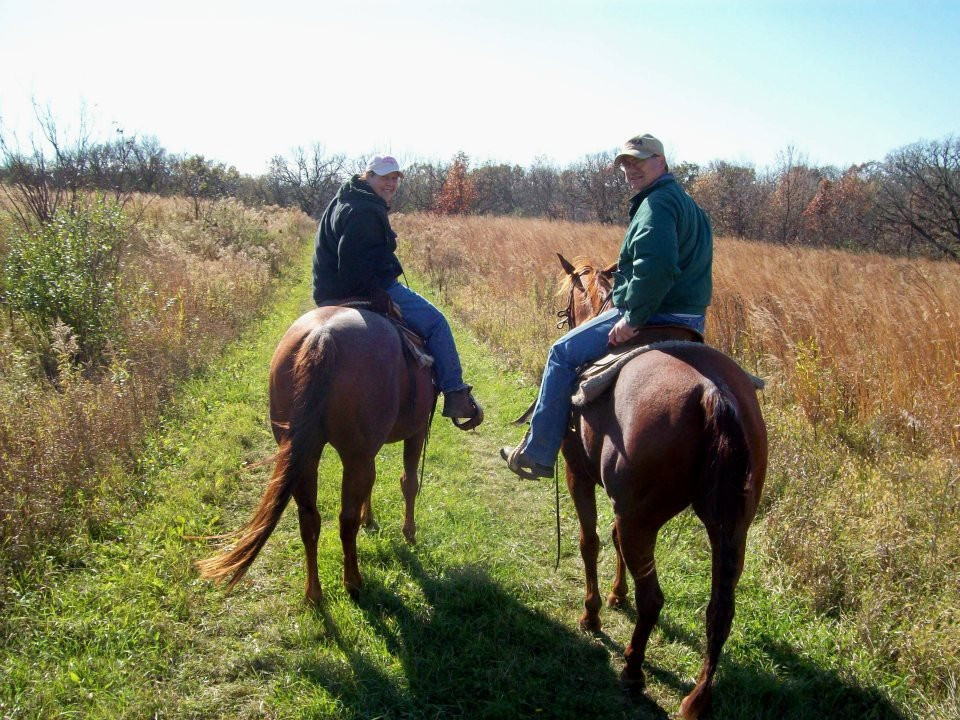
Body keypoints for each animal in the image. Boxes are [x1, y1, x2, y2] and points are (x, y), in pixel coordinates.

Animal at [195, 302, 436, 600]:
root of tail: (323, 336)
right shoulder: (416, 430)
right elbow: (409, 482)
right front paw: (409, 533)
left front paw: (370, 518)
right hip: (355, 456)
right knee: (346, 521)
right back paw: (353, 582)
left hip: (307, 456)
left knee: (309, 519)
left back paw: (313, 593)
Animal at [556, 255, 764, 720]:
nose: (560, 316)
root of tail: (714, 395)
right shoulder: (624, 505)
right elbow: (613, 539)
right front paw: (617, 595)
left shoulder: (579, 474)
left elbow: (590, 541)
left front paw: (593, 614)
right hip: (731, 528)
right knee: (720, 610)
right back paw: (696, 701)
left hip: (643, 517)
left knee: (653, 599)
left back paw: (633, 670)